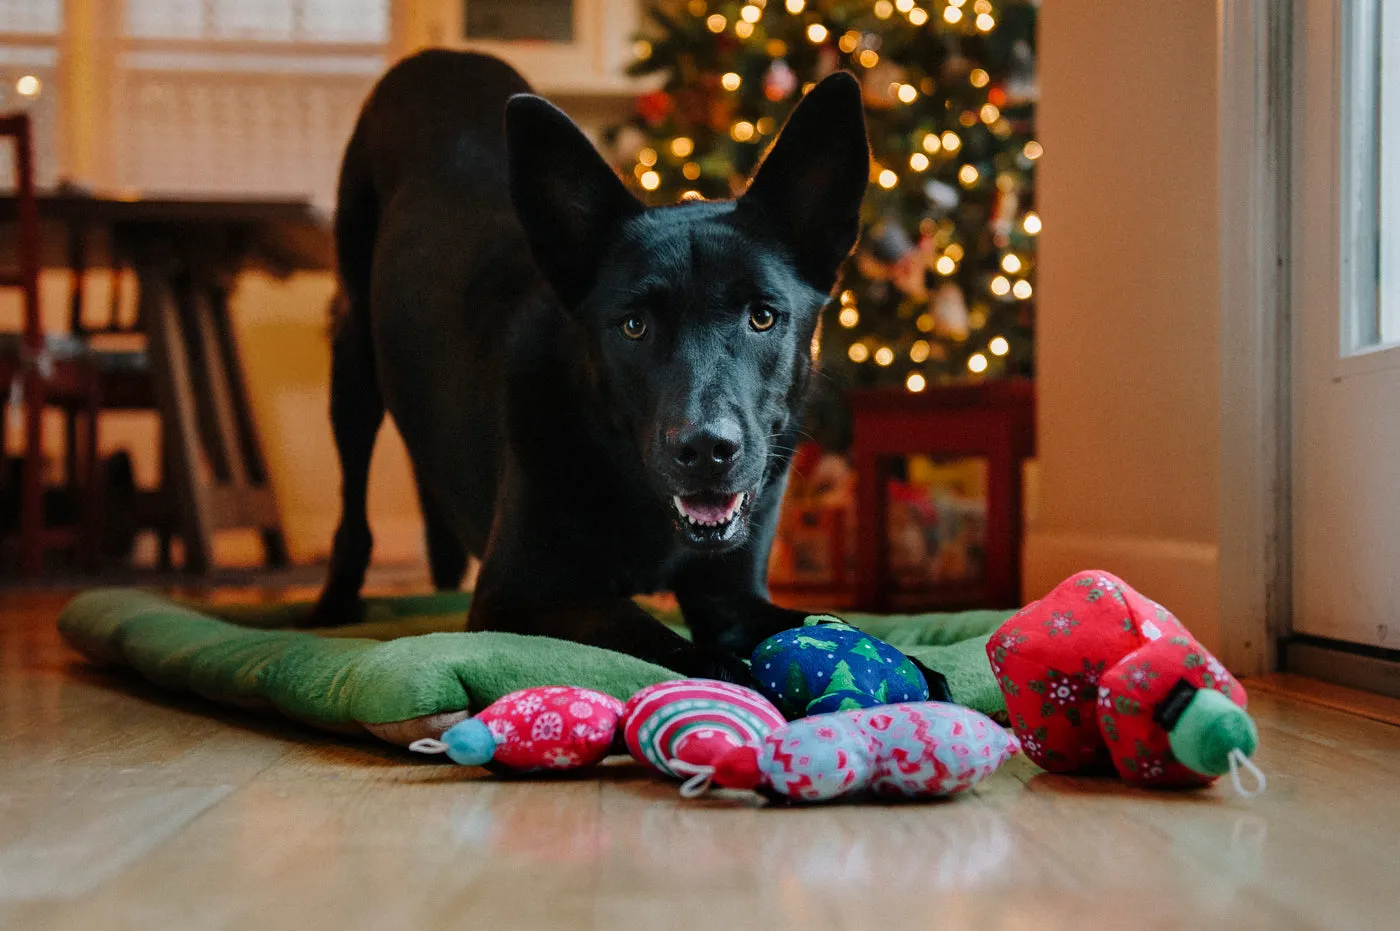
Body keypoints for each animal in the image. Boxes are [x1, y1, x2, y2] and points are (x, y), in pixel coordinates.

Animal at [313, 47, 868, 680]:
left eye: (762, 317)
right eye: (634, 326)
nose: (707, 450)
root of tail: (444, 54)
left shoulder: (731, 596)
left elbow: (834, 623)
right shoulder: (512, 597)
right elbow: (626, 619)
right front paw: (723, 669)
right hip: (353, 358)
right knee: (353, 506)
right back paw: (333, 606)